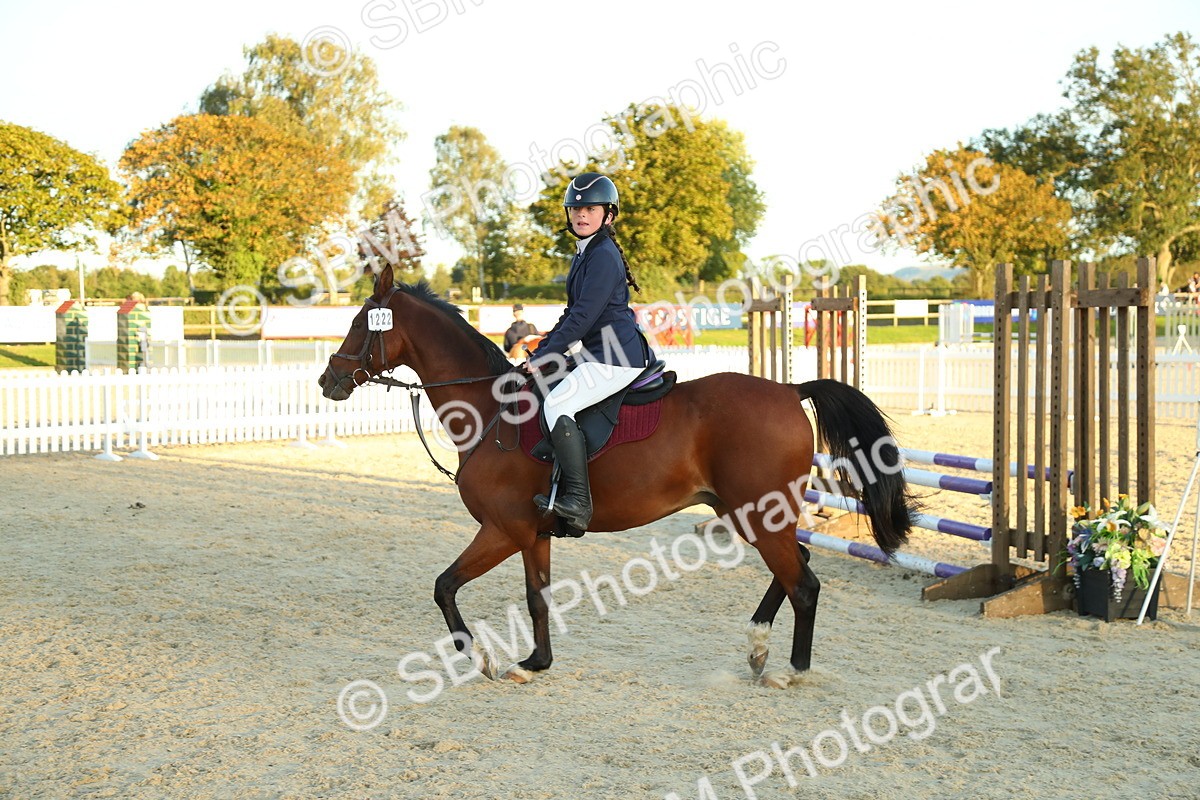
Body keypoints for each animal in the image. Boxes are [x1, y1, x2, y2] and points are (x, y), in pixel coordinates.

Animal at [318, 264, 914, 688]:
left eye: (360, 323)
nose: (329, 380)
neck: (491, 411)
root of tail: (790, 389)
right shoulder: (532, 534)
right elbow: (537, 597)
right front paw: (534, 662)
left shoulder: (503, 529)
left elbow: (445, 587)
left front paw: (481, 657)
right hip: (746, 512)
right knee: (796, 568)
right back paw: (757, 647)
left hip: (759, 513)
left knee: (804, 583)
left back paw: (790, 670)